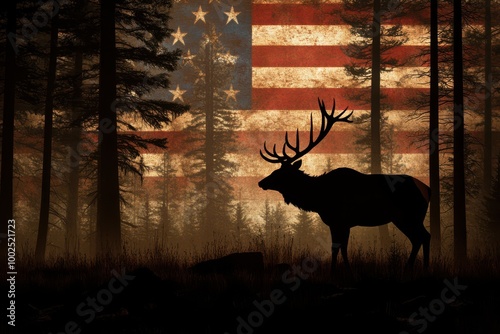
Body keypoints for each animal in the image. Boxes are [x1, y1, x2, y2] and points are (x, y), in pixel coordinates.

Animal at [258, 98, 430, 270]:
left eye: (280, 173)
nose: (261, 182)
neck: (318, 199)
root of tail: (427, 189)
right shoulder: (337, 223)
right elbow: (340, 248)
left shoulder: (341, 220)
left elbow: (339, 248)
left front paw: (339, 270)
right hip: (405, 217)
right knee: (421, 237)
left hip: (409, 215)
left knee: (422, 237)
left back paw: (414, 267)